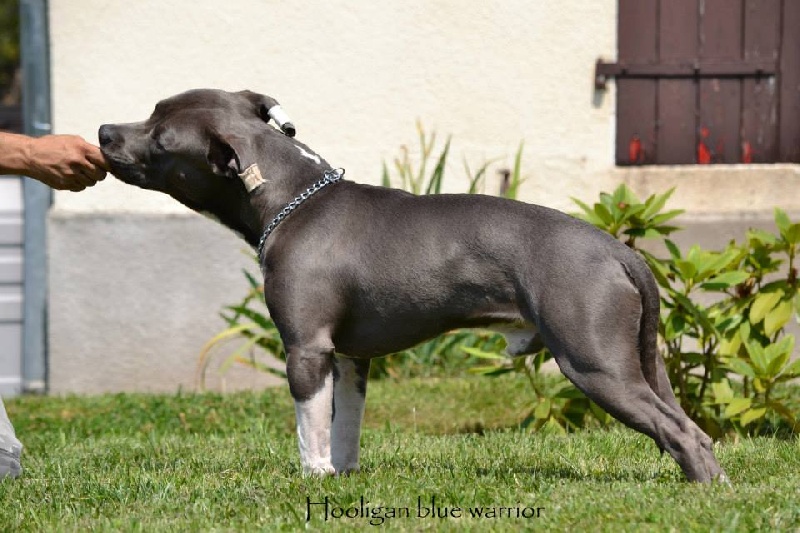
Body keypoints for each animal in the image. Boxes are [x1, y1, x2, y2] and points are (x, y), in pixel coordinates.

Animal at [98, 89, 727, 483]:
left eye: (161, 137)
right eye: (152, 109)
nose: (103, 130)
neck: (292, 198)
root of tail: (618, 250)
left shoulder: (306, 350)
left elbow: (309, 430)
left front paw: (311, 480)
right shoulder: (349, 357)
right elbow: (344, 427)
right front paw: (342, 478)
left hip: (595, 365)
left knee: (678, 431)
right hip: (636, 364)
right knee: (693, 431)